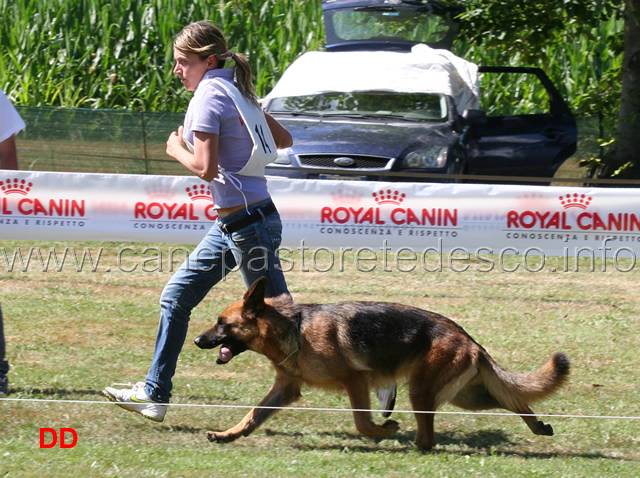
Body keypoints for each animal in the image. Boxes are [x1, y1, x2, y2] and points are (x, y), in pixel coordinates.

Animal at [195, 278, 568, 450]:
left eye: (221, 323)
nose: (197, 340)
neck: (293, 330)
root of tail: (469, 339)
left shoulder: (354, 380)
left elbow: (362, 421)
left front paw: (383, 430)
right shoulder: (285, 390)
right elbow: (252, 416)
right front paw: (228, 435)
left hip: (422, 392)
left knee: (428, 434)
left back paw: (412, 444)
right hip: (467, 396)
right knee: (514, 400)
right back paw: (539, 426)